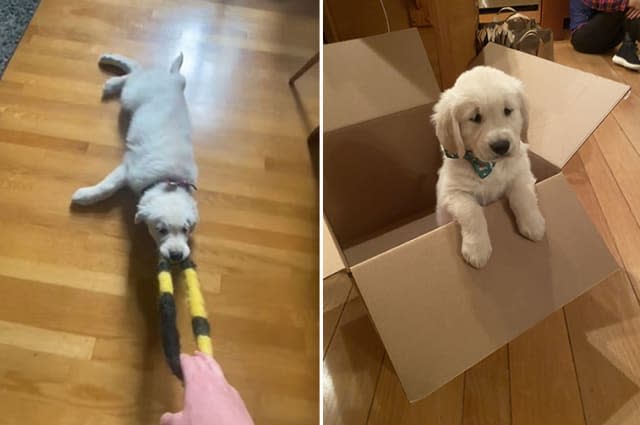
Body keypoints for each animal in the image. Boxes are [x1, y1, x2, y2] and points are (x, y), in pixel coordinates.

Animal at [72, 53, 199, 262]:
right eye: (161, 230)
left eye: (185, 229)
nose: (176, 256)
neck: (167, 180)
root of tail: (169, 78)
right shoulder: (128, 168)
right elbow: (107, 186)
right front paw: (86, 195)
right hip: (131, 95)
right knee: (135, 71)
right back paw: (112, 78)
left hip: (173, 83)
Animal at [430, 64, 544, 266]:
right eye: (475, 117)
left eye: (508, 110)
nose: (501, 146)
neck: (490, 166)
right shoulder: (452, 192)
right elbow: (471, 211)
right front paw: (477, 250)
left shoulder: (523, 174)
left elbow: (524, 195)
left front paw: (533, 224)